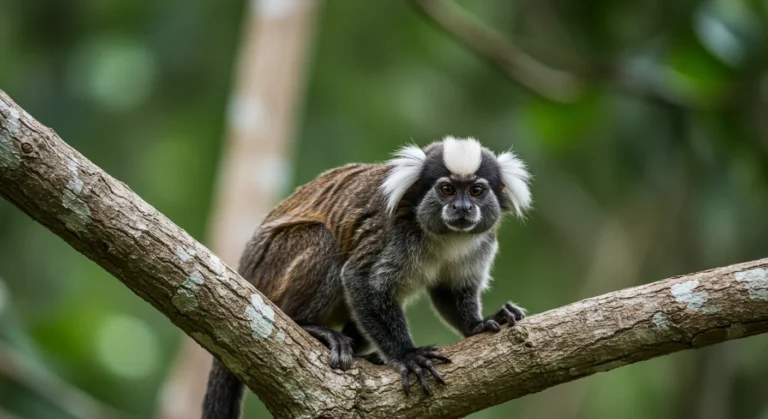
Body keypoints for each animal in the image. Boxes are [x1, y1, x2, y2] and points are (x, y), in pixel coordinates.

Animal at [201, 136, 532, 418]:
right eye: (447, 189)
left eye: (476, 190)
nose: (462, 207)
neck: (446, 239)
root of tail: (246, 274)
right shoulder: (393, 234)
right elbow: (360, 280)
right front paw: (407, 355)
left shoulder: (481, 243)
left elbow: (450, 290)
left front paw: (479, 324)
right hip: (271, 270)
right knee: (323, 241)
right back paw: (310, 327)